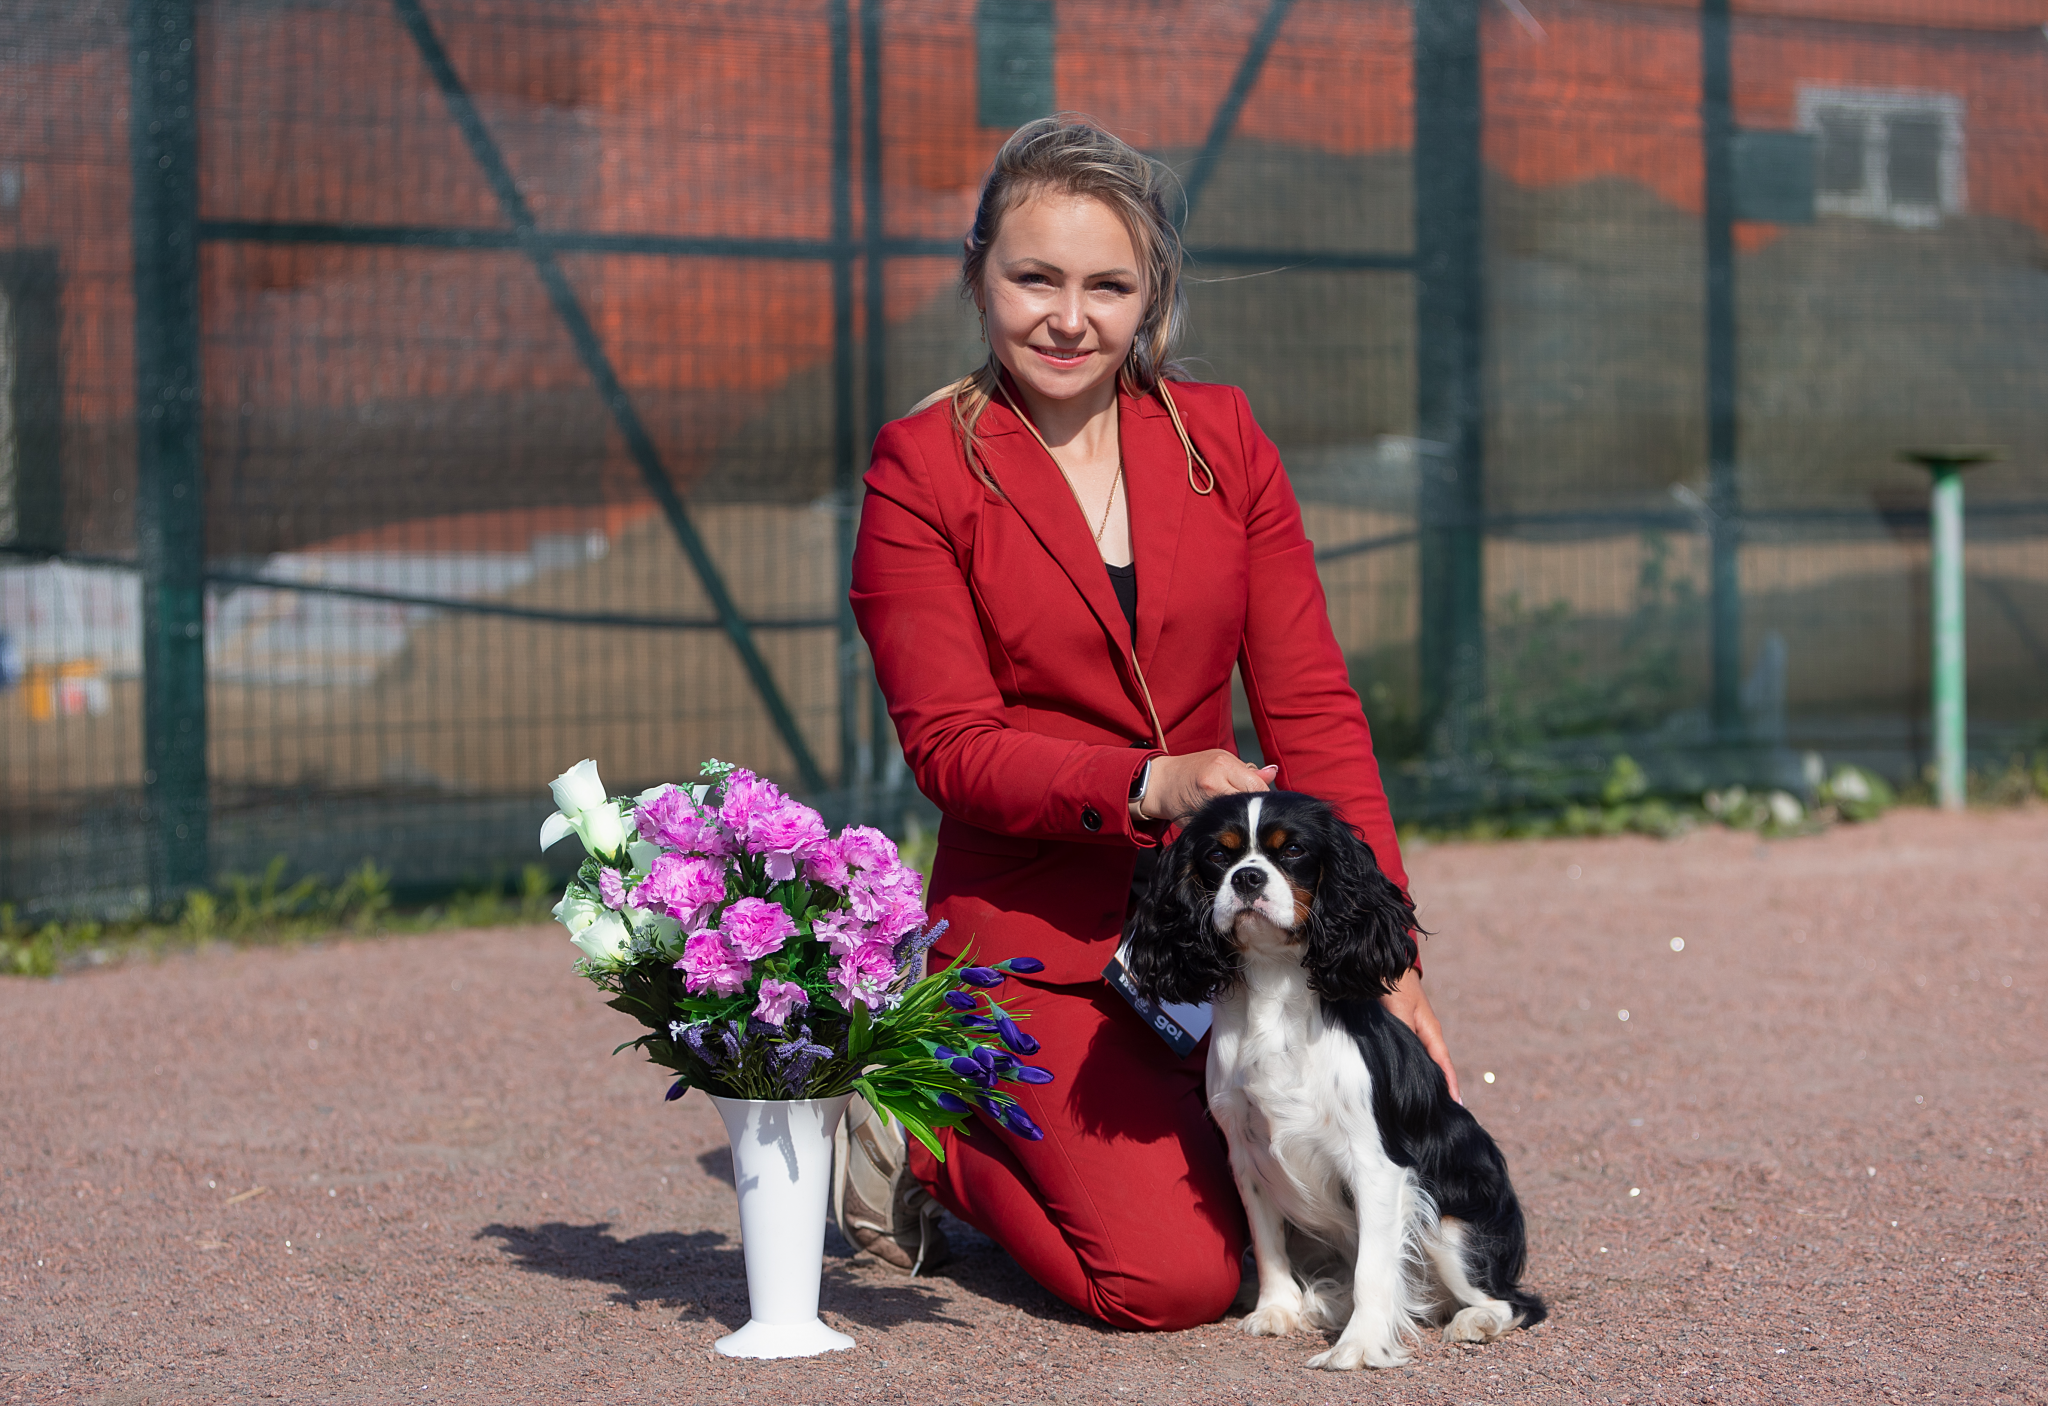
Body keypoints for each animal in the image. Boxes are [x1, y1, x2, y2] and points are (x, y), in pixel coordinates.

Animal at [1130, 798, 1540, 1367]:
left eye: (1293, 851)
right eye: (1218, 855)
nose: (1248, 877)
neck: (1273, 981)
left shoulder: (1376, 1165)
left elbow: (1374, 1269)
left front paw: (1360, 1347)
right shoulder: (1246, 1154)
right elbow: (1268, 1239)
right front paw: (1277, 1310)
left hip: (1453, 1226)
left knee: (1514, 1301)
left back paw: (1472, 1321)